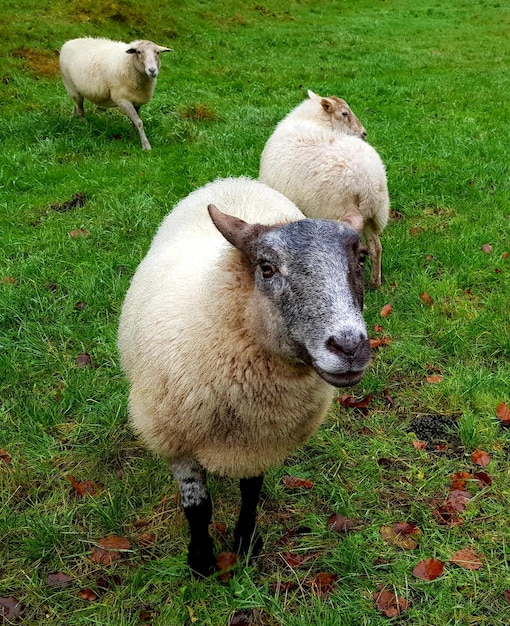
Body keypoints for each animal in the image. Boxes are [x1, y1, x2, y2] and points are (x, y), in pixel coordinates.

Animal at [118, 176, 370, 576]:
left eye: (361, 259)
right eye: (266, 268)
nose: (350, 347)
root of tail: (234, 180)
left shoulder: (260, 438)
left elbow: (251, 492)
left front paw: (247, 543)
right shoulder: (173, 436)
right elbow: (198, 506)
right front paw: (202, 559)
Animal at [260, 88, 388, 288]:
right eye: (344, 114)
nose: (364, 133)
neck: (314, 120)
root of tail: (369, 183)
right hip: (374, 216)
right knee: (376, 247)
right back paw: (375, 283)